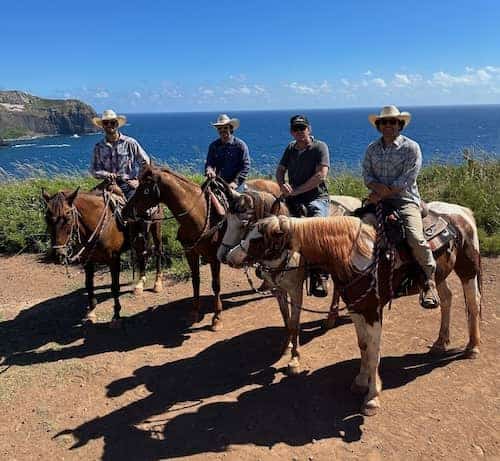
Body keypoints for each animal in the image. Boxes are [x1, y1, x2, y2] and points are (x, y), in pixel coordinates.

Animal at [122, 165, 282, 330]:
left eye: (145, 189)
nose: (124, 211)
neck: (199, 215)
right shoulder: (191, 253)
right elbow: (195, 281)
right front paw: (194, 312)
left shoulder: (214, 258)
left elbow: (216, 285)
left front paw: (217, 318)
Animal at [229, 201, 482, 414]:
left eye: (258, 238)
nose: (230, 256)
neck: (354, 253)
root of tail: (462, 212)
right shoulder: (356, 308)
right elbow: (363, 346)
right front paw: (360, 382)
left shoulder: (372, 311)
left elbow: (374, 352)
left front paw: (372, 397)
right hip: (439, 276)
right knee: (447, 299)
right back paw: (440, 343)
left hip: (467, 269)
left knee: (472, 303)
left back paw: (472, 347)